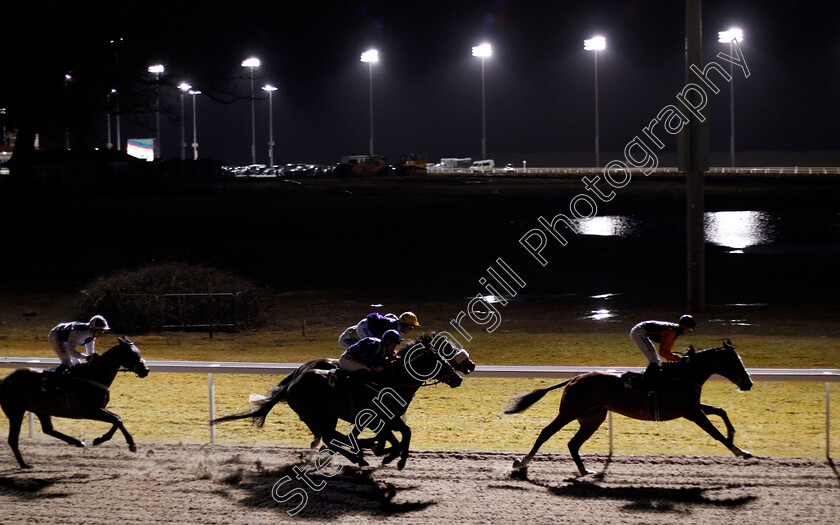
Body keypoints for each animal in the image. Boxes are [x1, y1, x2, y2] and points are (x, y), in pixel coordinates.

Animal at [0, 336, 149, 466]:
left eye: (138, 352)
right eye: (132, 354)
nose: (146, 370)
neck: (93, 376)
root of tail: (4, 380)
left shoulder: (98, 409)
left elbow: (117, 419)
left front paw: (102, 440)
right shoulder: (90, 411)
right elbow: (117, 419)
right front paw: (128, 444)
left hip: (40, 408)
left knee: (48, 429)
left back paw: (78, 442)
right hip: (16, 411)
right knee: (13, 439)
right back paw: (24, 465)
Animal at [213, 334, 470, 468]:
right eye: (441, 359)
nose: (459, 377)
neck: (392, 380)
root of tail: (291, 384)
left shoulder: (389, 418)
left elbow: (405, 433)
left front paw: (392, 457)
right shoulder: (376, 418)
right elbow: (395, 436)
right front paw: (389, 455)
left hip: (327, 415)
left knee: (331, 436)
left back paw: (357, 451)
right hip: (314, 414)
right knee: (330, 437)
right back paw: (357, 455)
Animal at [506, 342, 756, 476]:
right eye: (735, 362)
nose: (749, 383)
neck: (684, 376)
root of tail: (574, 378)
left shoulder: (690, 407)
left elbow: (721, 410)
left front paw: (733, 436)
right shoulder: (691, 412)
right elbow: (715, 433)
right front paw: (741, 452)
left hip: (593, 417)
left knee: (573, 443)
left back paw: (585, 471)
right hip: (569, 412)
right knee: (546, 433)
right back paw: (522, 463)